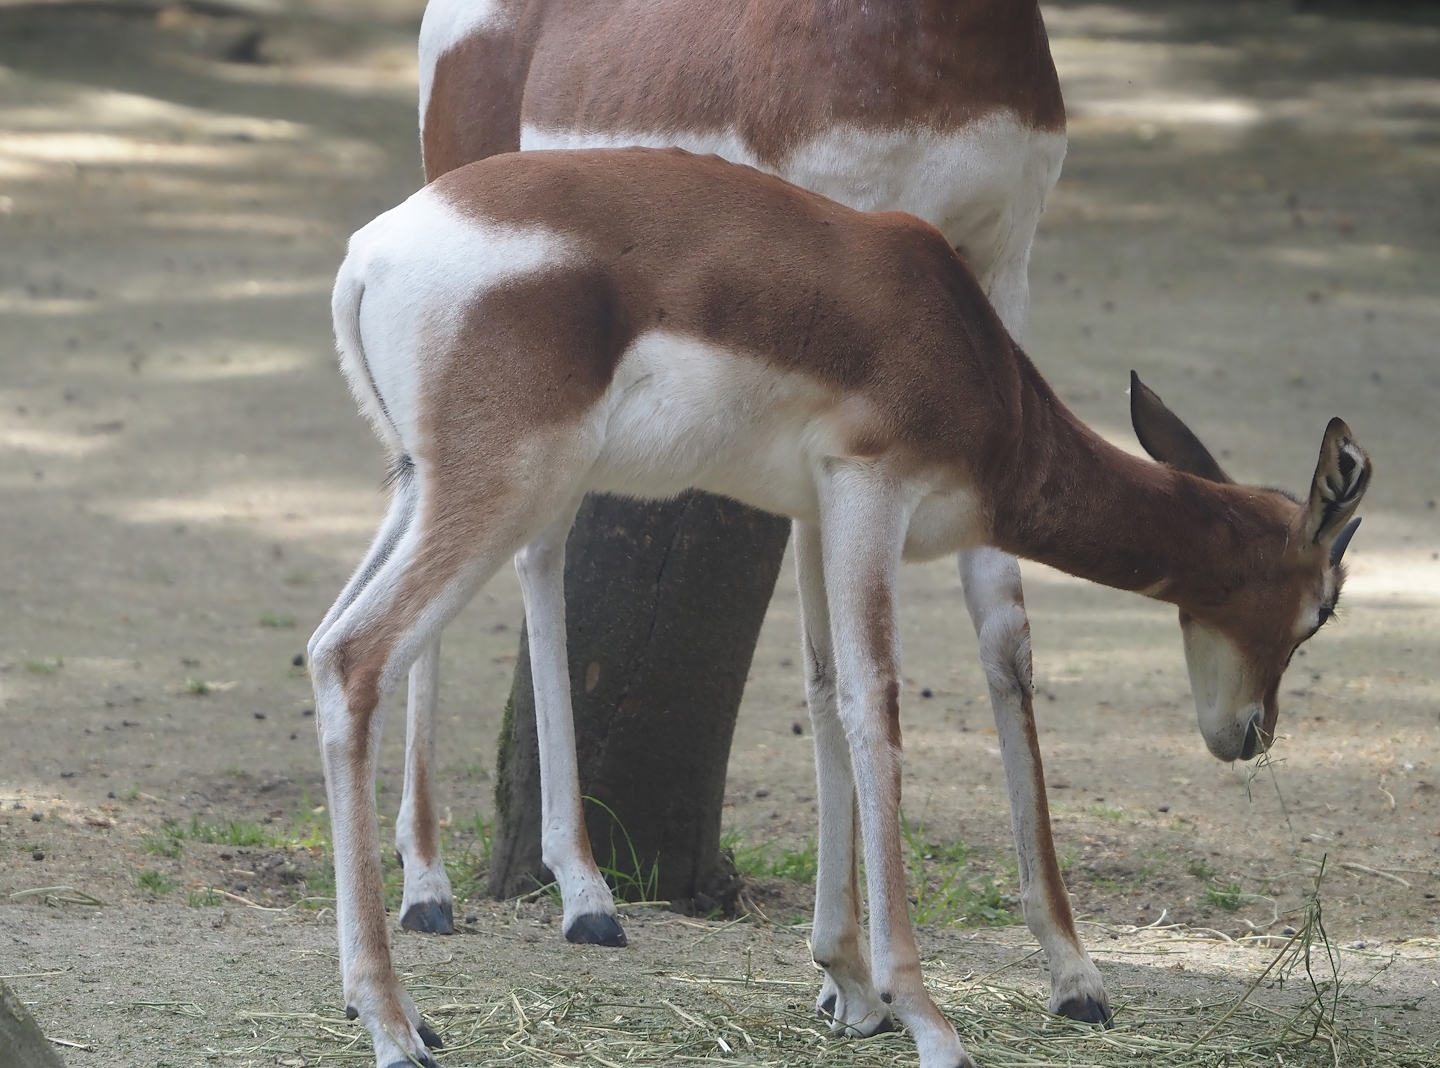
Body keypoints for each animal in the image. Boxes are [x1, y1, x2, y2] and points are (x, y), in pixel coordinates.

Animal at [309, 148, 1371, 1068]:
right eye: (1322, 611)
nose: (1250, 734)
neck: (967, 349)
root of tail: (371, 253)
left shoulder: (817, 510)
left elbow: (824, 698)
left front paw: (852, 987)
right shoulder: (873, 488)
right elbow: (875, 707)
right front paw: (928, 1016)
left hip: (420, 487)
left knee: (324, 648)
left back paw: (400, 992)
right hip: (504, 491)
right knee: (362, 655)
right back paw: (399, 1020)